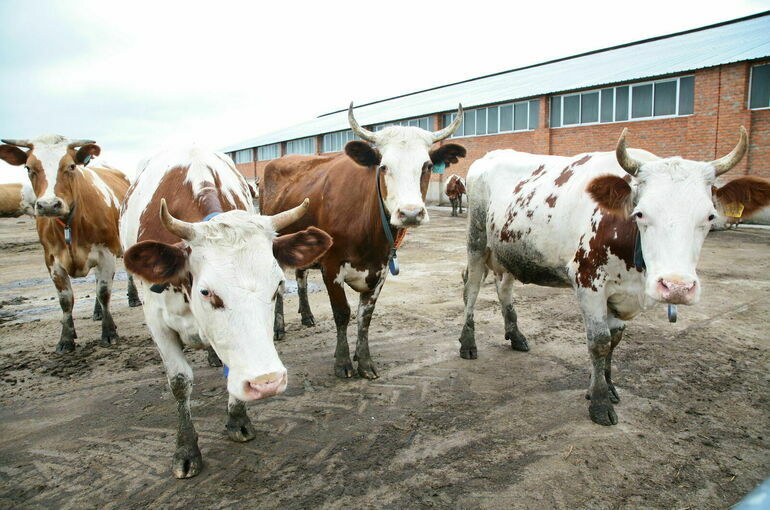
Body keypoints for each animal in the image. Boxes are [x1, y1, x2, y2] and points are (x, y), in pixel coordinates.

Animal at [0, 133, 141, 352]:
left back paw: (132, 298)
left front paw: (109, 332)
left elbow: (104, 292)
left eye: (71, 166)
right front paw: (66, 338)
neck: (70, 223)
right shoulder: (52, 260)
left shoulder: (106, 254)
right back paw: (96, 312)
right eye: (28, 168)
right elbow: (66, 300)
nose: (49, 205)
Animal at [121, 146, 332, 478]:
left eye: (277, 287)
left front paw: (238, 419)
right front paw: (186, 449)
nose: (267, 383)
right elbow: (179, 382)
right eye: (207, 292)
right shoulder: (157, 323)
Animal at [456, 127, 768, 426]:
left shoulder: (623, 294)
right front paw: (599, 402)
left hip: (509, 250)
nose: (677, 287)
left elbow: (615, 340)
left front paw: (608, 385)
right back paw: (468, 343)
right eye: (640, 213)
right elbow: (600, 342)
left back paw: (515, 335)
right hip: (477, 241)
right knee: (471, 290)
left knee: (504, 289)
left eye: (710, 216)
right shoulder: (588, 283)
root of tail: (490, 155)